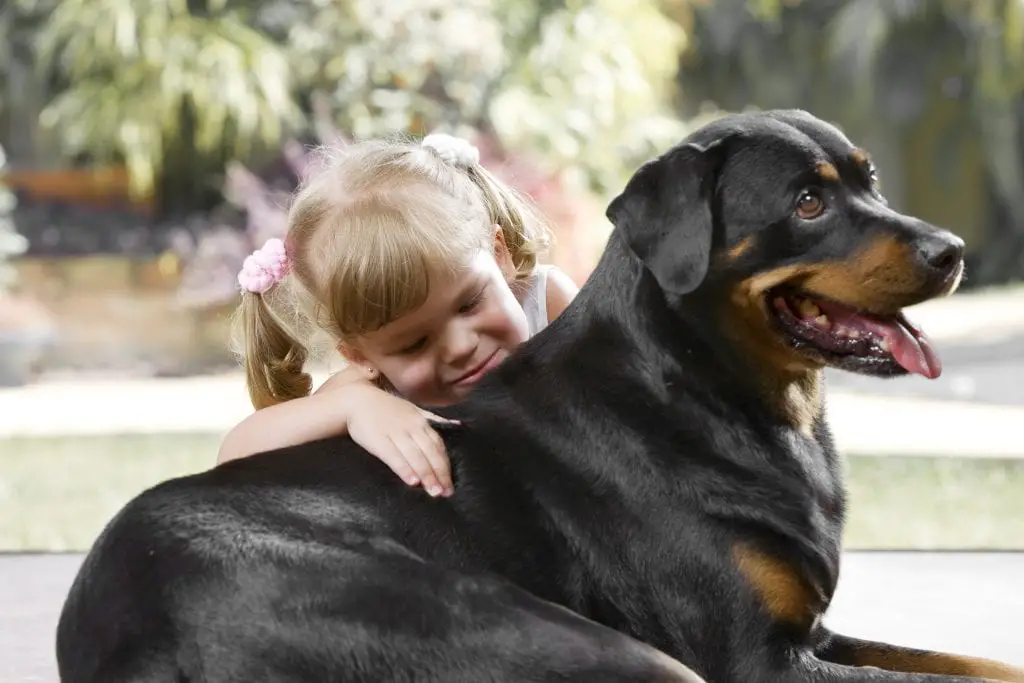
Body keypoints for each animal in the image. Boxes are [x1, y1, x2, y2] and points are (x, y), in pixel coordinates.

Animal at [56, 112, 1024, 683]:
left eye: (870, 180)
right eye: (809, 202)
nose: (951, 249)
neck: (715, 390)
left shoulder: (813, 635)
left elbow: (972, 662)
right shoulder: (759, 659)